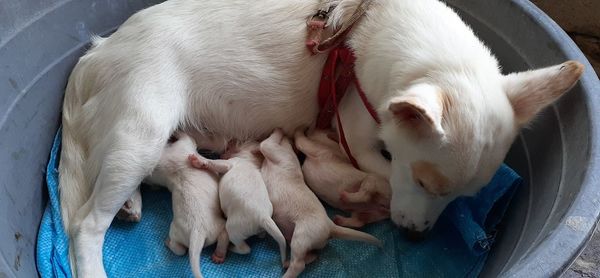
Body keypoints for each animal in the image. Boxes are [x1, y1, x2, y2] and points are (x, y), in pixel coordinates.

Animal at [148, 134, 230, 276]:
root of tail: (196, 234)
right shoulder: (183, 147)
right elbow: (189, 138)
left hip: (179, 232)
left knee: (180, 250)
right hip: (214, 227)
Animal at [260, 130, 382, 278]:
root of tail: (331, 226)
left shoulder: (276, 151)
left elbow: (265, 144)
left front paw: (279, 131)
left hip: (301, 237)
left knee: (299, 265)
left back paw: (287, 271)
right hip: (297, 238)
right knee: (311, 256)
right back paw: (288, 263)